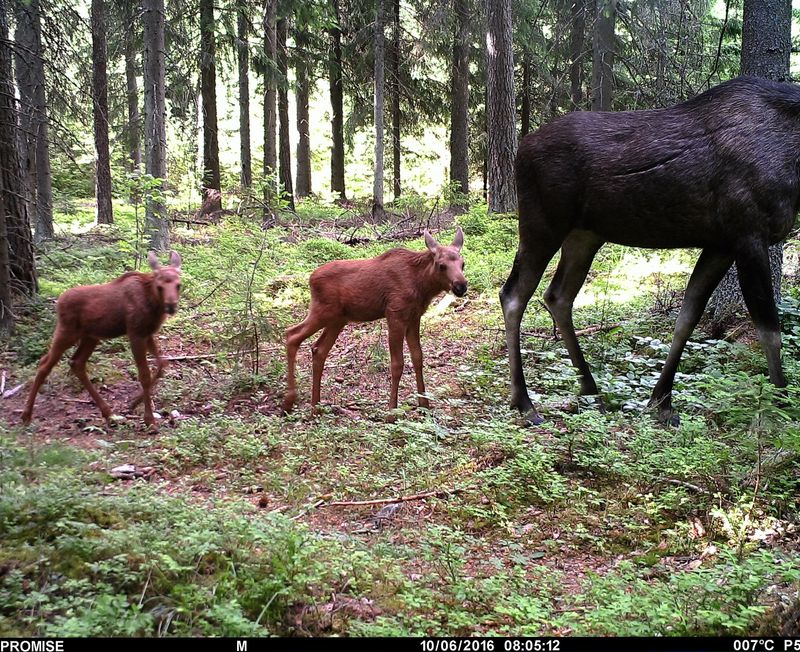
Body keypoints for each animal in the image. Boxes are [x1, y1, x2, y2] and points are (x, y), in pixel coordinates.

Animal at [20, 250, 184, 428]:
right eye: (160, 286)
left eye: (178, 285)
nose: (171, 306)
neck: (152, 303)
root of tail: (58, 302)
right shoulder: (135, 333)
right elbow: (144, 375)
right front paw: (149, 418)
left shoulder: (147, 333)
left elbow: (162, 365)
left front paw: (133, 404)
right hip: (66, 332)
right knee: (44, 364)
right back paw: (26, 415)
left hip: (90, 337)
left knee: (76, 363)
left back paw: (108, 413)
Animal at [282, 230, 466, 418]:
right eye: (442, 265)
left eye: (463, 264)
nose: (461, 286)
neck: (422, 286)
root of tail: (310, 279)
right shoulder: (395, 314)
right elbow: (397, 363)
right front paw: (391, 412)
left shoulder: (414, 317)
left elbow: (418, 357)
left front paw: (424, 405)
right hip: (322, 312)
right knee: (292, 335)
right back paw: (289, 401)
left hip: (337, 320)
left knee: (318, 349)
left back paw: (315, 407)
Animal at [504, 76, 796, 426]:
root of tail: (521, 149)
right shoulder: (749, 233)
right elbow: (769, 328)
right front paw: (780, 406)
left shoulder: (721, 243)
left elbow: (688, 317)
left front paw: (661, 401)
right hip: (542, 223)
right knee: (513, 295)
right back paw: (524, 402)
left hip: (584, 235)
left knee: (558, 296)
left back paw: (590, 389)